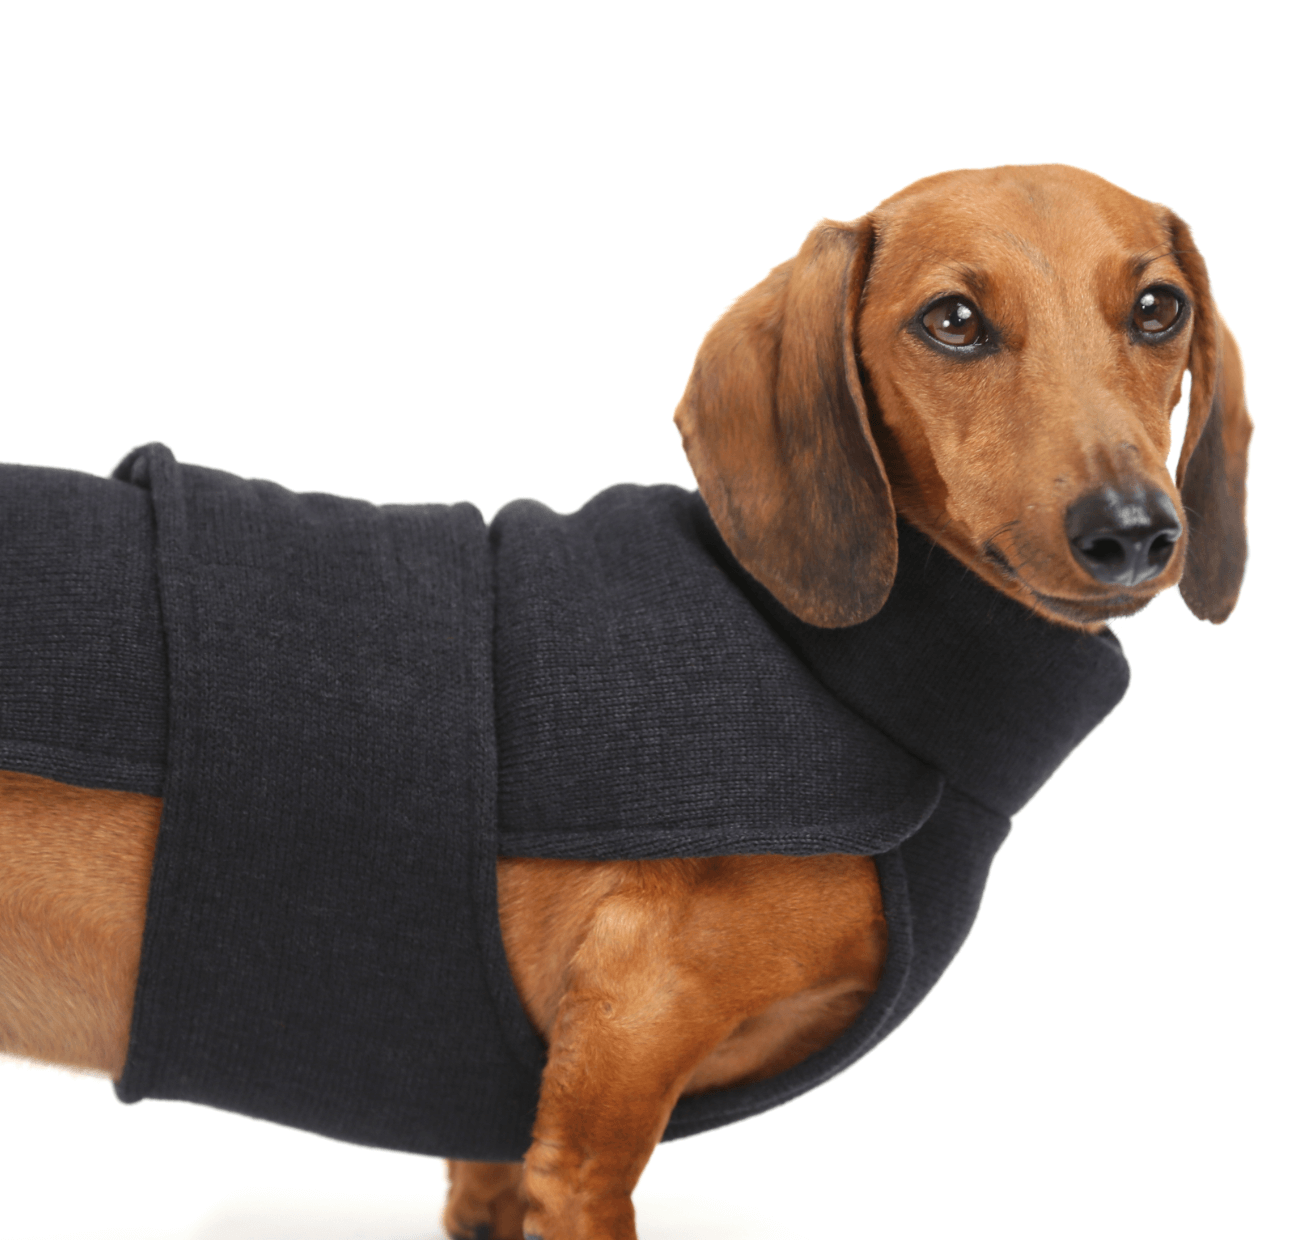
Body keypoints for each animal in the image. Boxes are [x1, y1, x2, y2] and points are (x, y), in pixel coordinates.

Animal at [0, 164, 1249, 1240]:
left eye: (1158, 307)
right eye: (952, 321)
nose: (1134, 530)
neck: (839, 671)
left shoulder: (501, 1147)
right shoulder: (592, 1132)